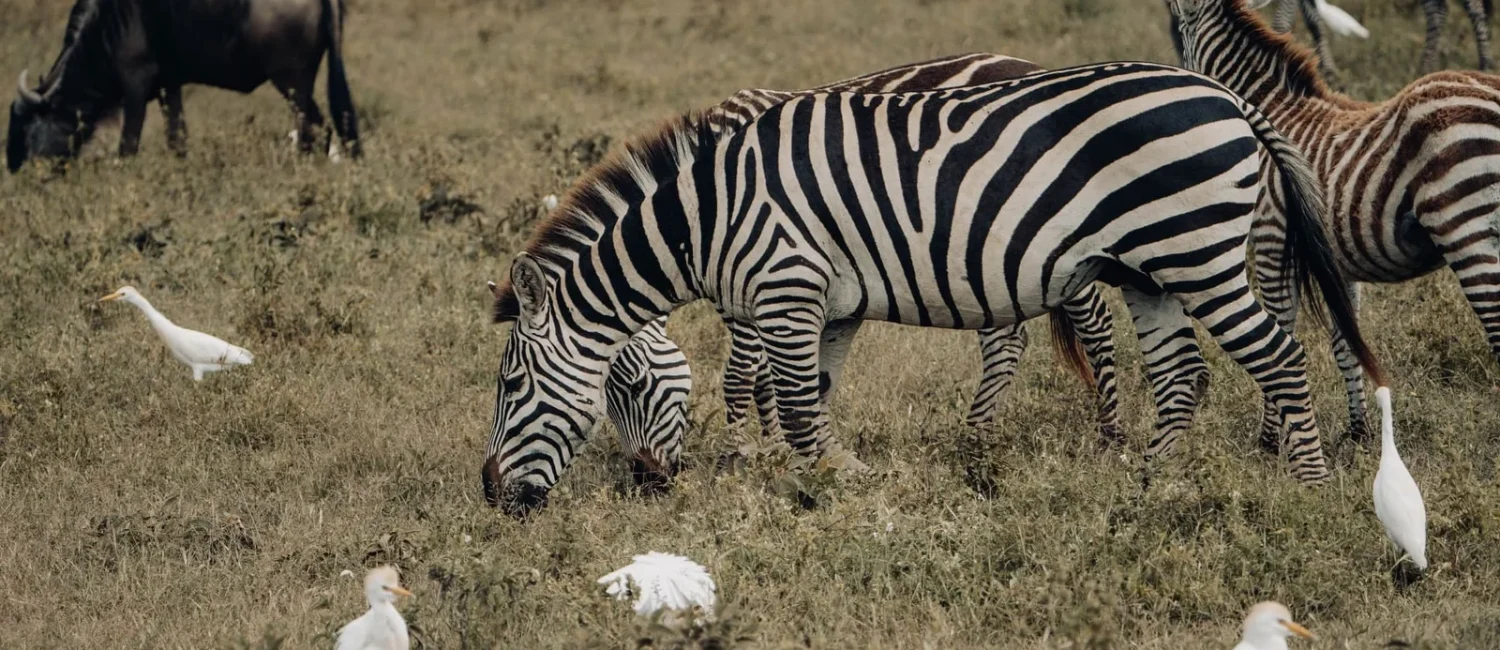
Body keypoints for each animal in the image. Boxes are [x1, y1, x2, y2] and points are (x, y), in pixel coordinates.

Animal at [1256, 0, 1492, 73]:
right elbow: (1313, 20)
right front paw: (1328, 69)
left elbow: (1282, 21)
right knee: (1438, 9)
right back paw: (1424, 68)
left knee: (1474, 7)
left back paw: (1486, 65)